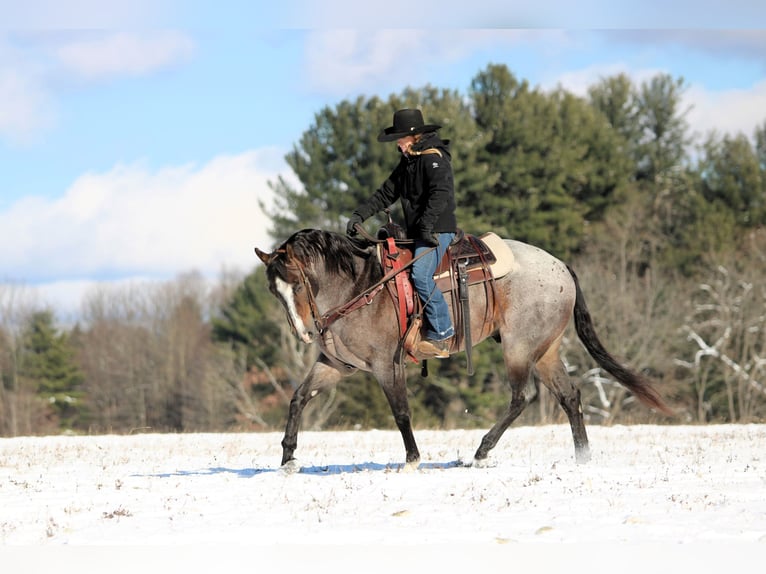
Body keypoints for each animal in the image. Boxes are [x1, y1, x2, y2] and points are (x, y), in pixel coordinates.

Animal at [255, 228, 673, 469]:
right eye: (273, 290)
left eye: (297, 282)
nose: (304, 333)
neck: (361, 287)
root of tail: (560, 266)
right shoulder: (337, 364)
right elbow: (299, 397)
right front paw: (288, 456)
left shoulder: (386, 365)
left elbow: (401, 412)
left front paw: (412, 459)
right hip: (546, 350)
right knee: (569, 396)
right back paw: (583, 458)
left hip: (519, 347)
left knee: (522, 397)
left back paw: (482, 451)